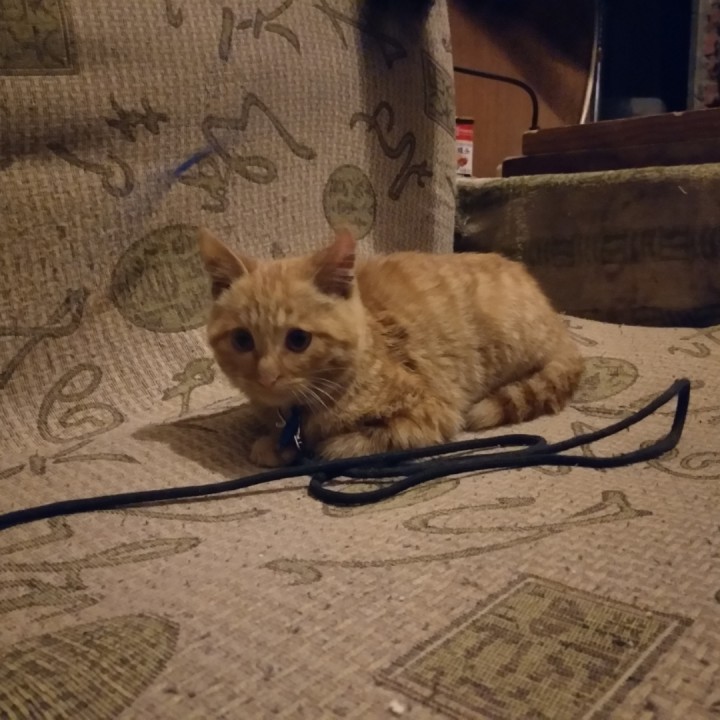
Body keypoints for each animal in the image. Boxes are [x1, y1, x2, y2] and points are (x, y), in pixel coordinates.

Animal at [198, 228, 584, 467]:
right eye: (242, 340)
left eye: (298, 340)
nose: (266, 376)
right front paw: (276, 443)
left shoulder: (429, 413)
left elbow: (348, 443)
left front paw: (312, 445)